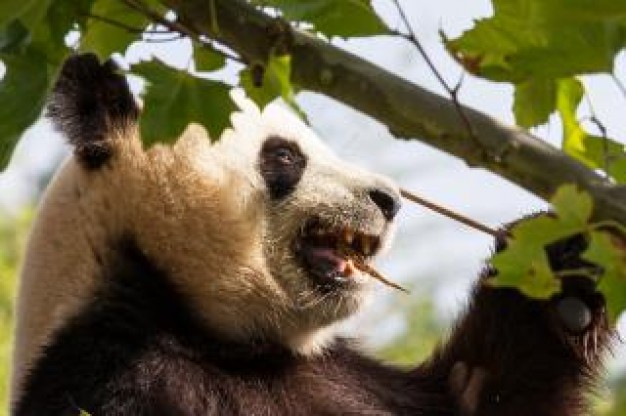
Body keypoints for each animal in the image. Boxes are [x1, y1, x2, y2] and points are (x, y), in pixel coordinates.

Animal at [11, 53, 608, 414]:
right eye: (284, 156)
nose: (388, 200)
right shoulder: (115, 372)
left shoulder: (341, 375)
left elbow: (478, 391)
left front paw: (563, 277)